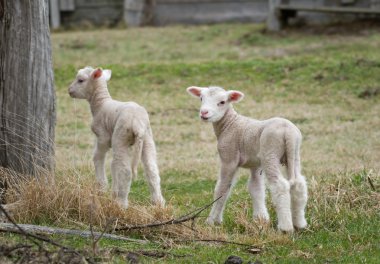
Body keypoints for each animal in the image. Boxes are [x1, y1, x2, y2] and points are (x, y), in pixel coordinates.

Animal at [68, 66, 165, 208]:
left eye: (80, 80)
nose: (69, 91)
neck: (101, 103)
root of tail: (137, 123)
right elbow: (113, 165)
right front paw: (113, 192)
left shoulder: (102, 137)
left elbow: (98, 157)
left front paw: (102, 187)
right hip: (147, 138)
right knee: (151, 169)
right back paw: (158, 203)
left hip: (121, 137)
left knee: (126, 171)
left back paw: (122, 203)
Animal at [187, 85, 308, 232]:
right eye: (201, 98)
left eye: (222, 102)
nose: (204, 113)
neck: (230, 124)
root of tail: (287, 131)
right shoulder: (255, 164)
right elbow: (256, 188)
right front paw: (261, 219)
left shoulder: (229, 158)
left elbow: (222, 188)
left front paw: (212, 221)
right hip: (294, 154)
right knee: (299, 184)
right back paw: (299, 224)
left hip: (270, 153)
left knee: (280, 185)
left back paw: (286, 227)